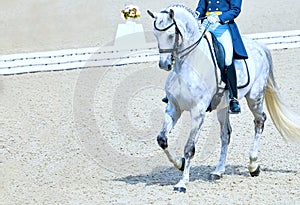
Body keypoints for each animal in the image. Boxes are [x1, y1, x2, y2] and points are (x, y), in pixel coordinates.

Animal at [147, 3, 300, 192]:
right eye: (155, 35)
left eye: (170, 35)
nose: (164, 64)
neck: (187, 64)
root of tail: (259, 46)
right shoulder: (174, 108)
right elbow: (162, 139)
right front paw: (180, 164)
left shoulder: (198, 112)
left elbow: (189, 147)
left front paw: (182, 183)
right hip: (223, 106)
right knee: (226, 133)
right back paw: (218, 171)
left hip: (254, 97)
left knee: (260, 121)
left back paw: (253, 165)